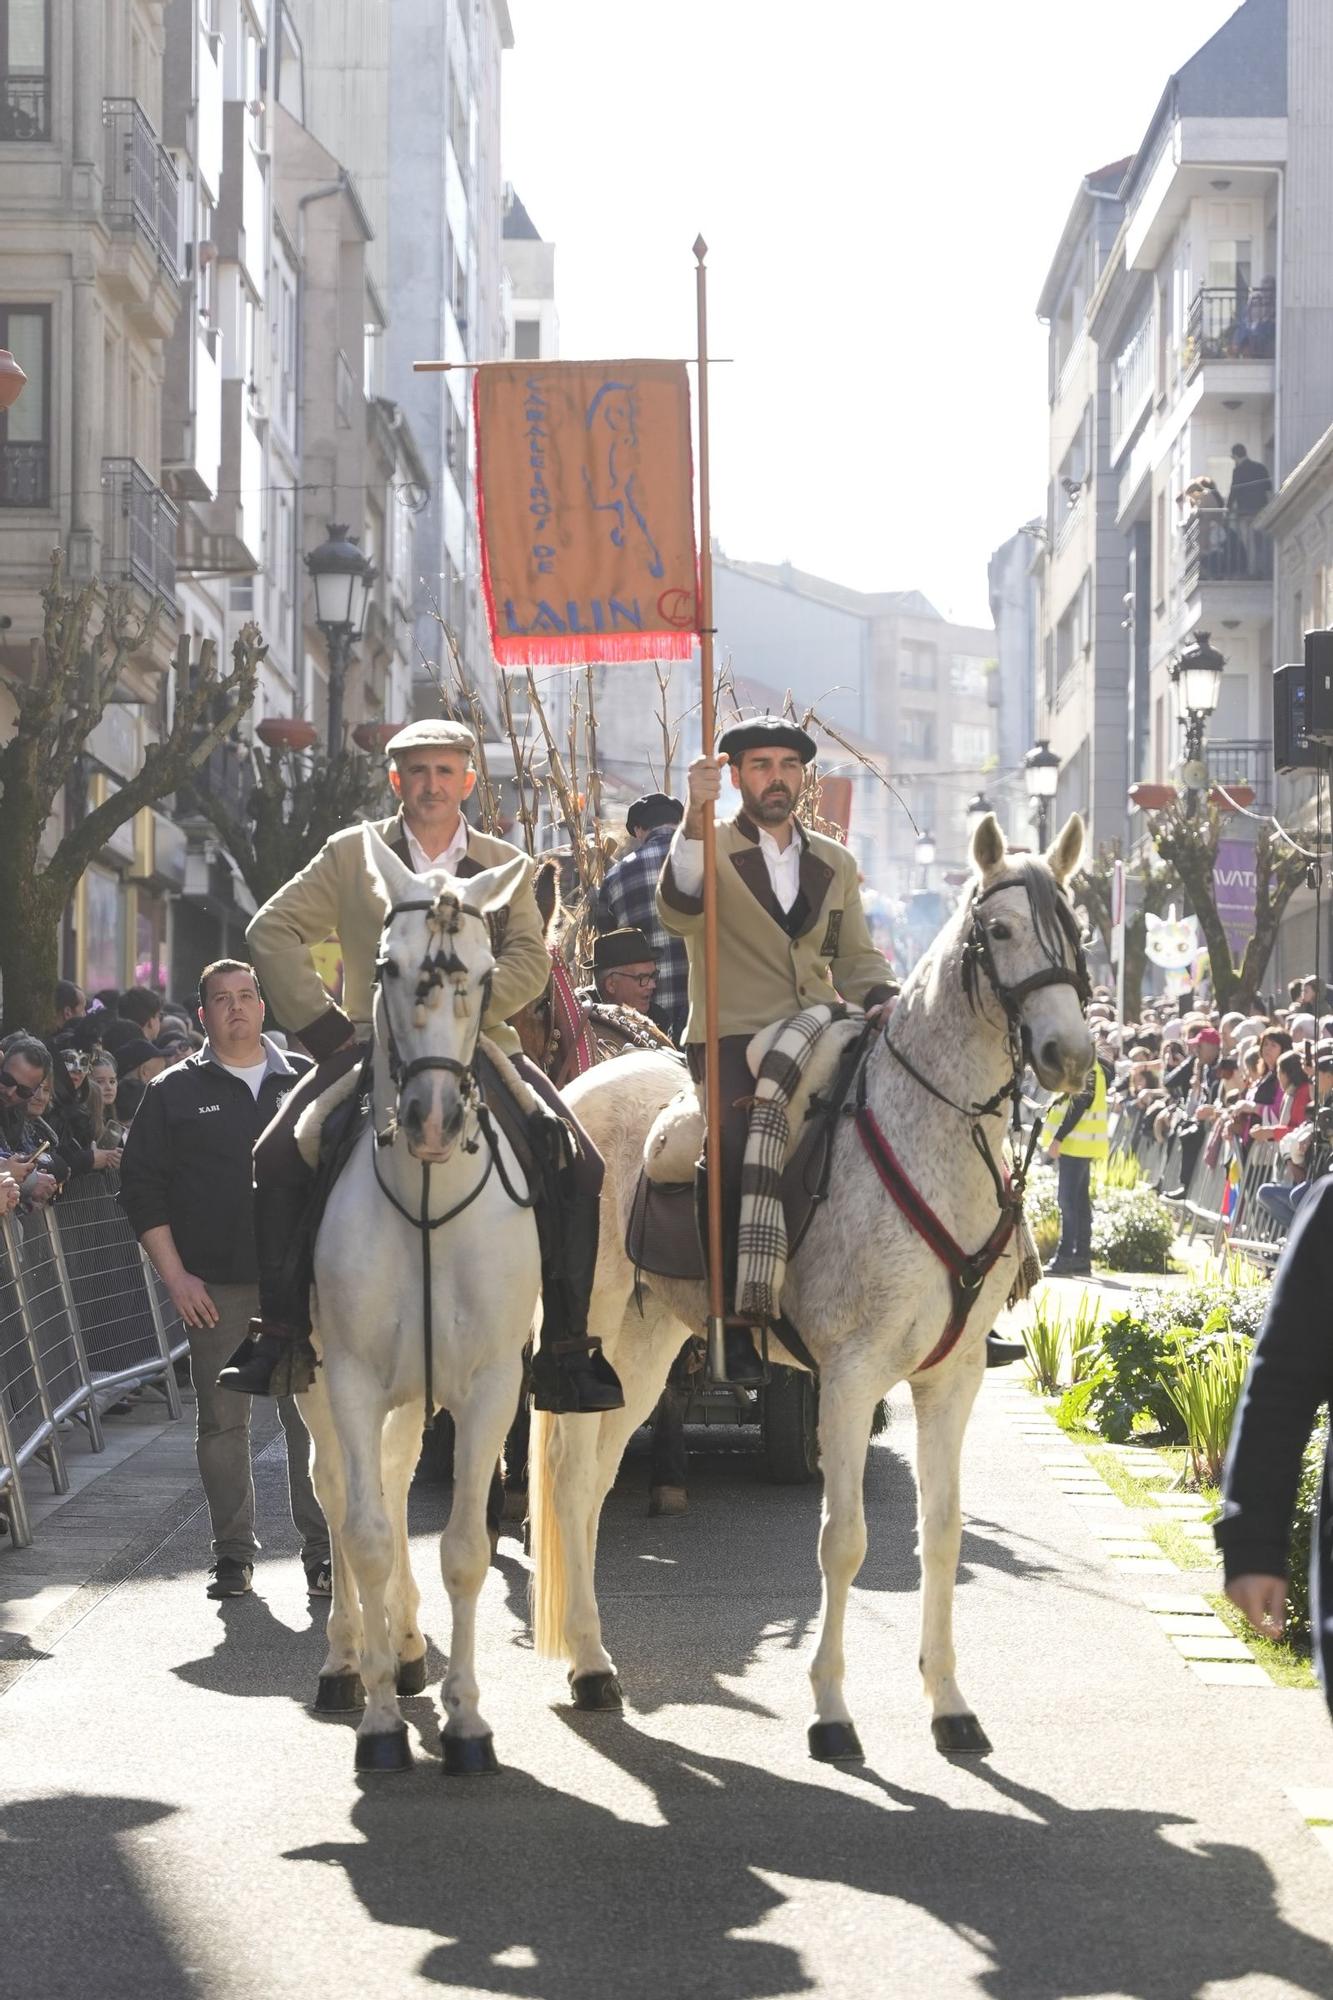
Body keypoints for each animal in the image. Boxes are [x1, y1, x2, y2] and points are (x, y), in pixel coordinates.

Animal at [296, 832, 540, 1784]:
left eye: (484, 970)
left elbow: (465, 1549)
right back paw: (347, 1661)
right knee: (340, 1495)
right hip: (316, 1387)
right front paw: (377, 1727)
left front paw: (468, 1721)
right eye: (384, 967)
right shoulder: (352, 1380)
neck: (428, 1197)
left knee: (397, 1484)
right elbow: (361, 1534)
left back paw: (401, 1649)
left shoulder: (490, 1388)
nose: (432, 1119)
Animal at [528, 812, 1088, 1752]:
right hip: (591, 1338)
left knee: (594, 1485)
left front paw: (949, 1704)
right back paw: (589, 1665)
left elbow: (940, 1533)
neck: (931, 1133)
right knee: (570, 1481)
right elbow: (844, 1540)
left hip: (644, 1346)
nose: (1068, 1053)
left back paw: (590, 1657)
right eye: (1002, 930)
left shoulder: (953, 1377)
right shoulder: (850, 1376)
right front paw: (830, 1711)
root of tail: (581, 1085)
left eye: (1075, 929)